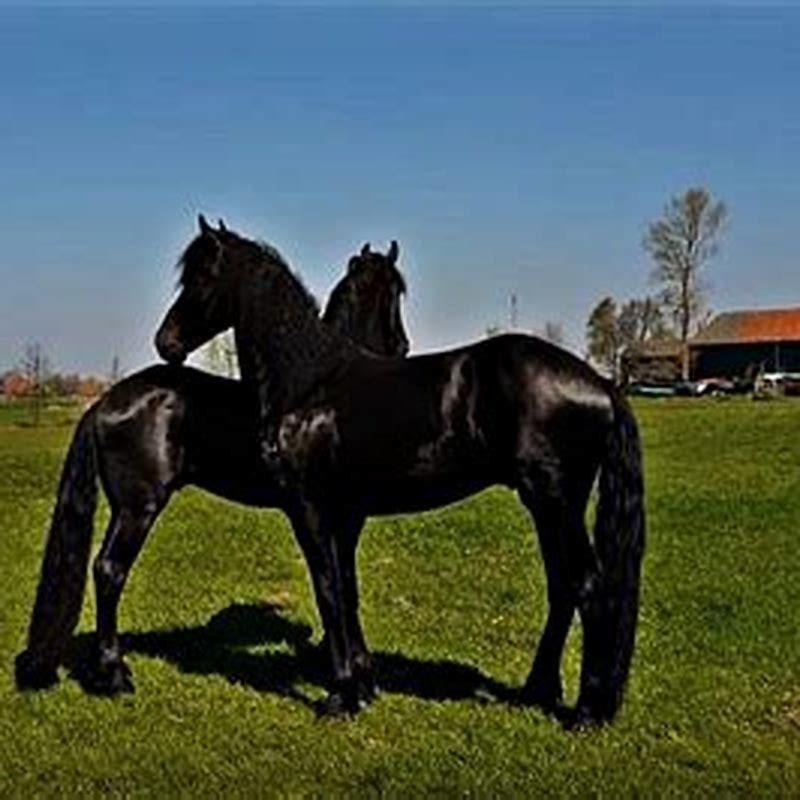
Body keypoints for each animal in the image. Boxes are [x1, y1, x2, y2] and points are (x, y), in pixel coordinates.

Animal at [15, 221, 409, 696]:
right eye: (397, 292)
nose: (403, 346)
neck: (321, 382)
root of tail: (104, 402)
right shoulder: (340, 516)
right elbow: (341, 587)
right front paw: (357, 672)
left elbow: (344, 585)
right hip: (137, 507)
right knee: (109, 569)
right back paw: (114, 674)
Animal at [153, 217, 646, 729]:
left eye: (202, 275)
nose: (165, 342)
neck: (311, 381)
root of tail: (602, 383)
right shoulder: (344, 514)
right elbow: (345, 590)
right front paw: (362, 686)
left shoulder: (310, 508)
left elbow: (328, 590)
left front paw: (341, 696)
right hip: (547, 507)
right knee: (563, 587)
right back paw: (539, 690)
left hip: (556, 502)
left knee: (588, 586)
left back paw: (587, 711)